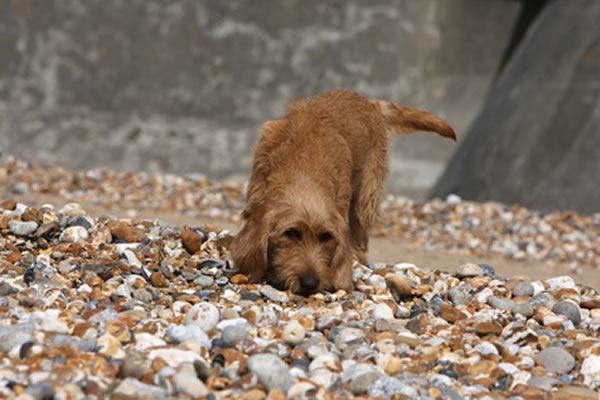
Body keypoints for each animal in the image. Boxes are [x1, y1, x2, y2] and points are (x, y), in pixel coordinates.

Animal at [231, 91, 454, 296]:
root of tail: (368, 102)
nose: (310, 283)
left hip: (366, 198)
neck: (303, 171)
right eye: (292, 233)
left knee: (361, 237)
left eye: (326, 237)